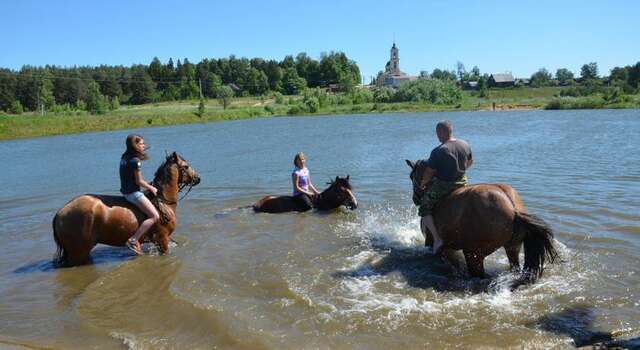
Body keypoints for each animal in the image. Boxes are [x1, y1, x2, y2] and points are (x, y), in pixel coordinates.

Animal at [54, 152, 201, 266]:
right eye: (186, 166)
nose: (198, 178)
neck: (163, 201)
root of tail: (60, 213)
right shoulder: (162, 239)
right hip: (78, 252)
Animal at [408, 160, 556, 288]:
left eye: (411, 176)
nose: (415, 198)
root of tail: (513, 208)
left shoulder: (430, 242)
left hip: (473, 254)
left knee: (478, 275)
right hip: (512, 248)